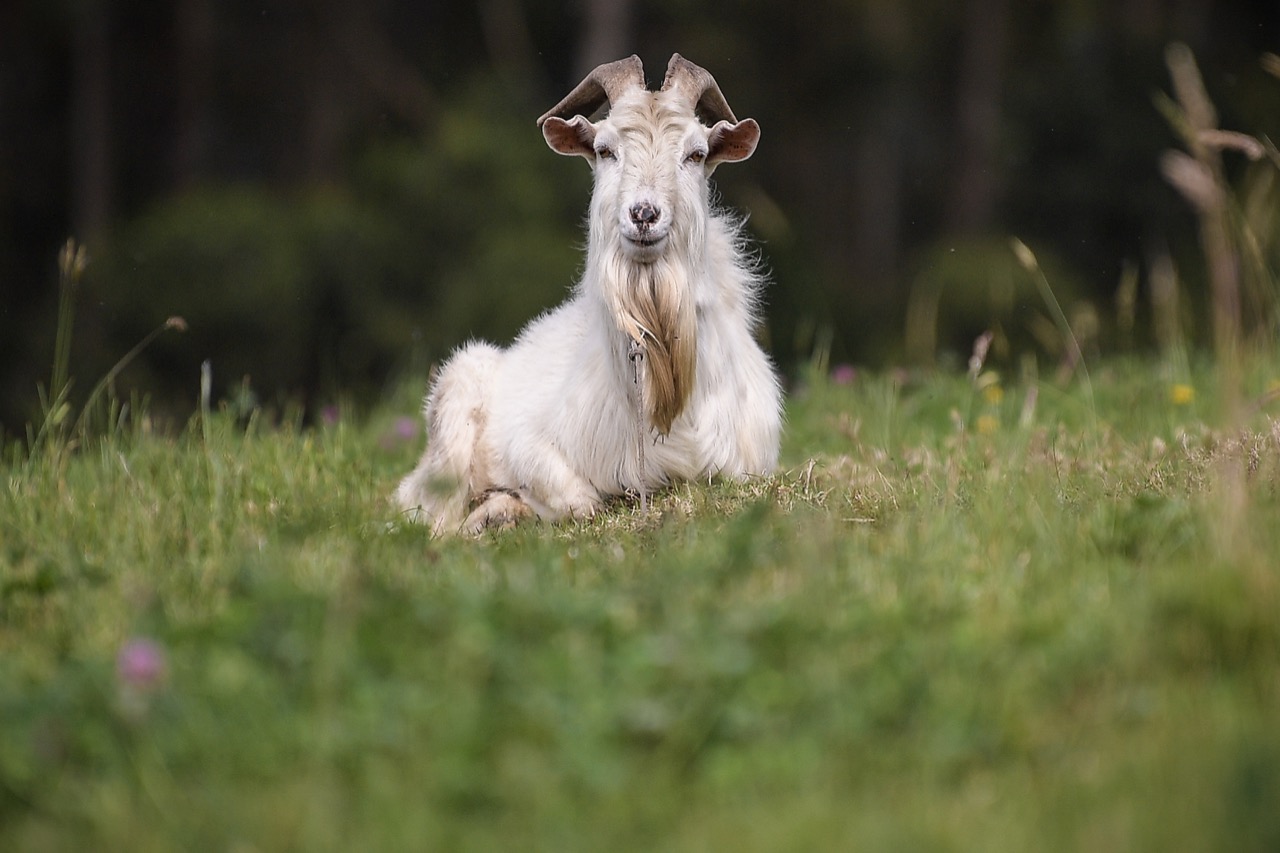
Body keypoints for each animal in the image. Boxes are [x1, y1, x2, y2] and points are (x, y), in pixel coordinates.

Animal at [395, 54, 782, 535]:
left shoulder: (748, 463)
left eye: (696, 154)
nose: (643, 214)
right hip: (456, 392)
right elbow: (580, 501)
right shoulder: (530, 444)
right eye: (604, 149)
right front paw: (502, 507)